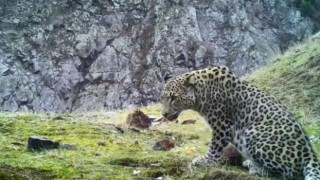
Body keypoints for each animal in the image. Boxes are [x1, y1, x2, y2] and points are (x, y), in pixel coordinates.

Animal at [161, 66, 320, 180]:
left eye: (174, 98)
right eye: (164, 98)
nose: (164, 114)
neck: (202, 93)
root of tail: (311, 154)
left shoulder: (222, 124)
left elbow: (214, 147)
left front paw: (205, 161)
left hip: (254, 133)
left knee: (288, 173)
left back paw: (256, 169)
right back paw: (250, 163)